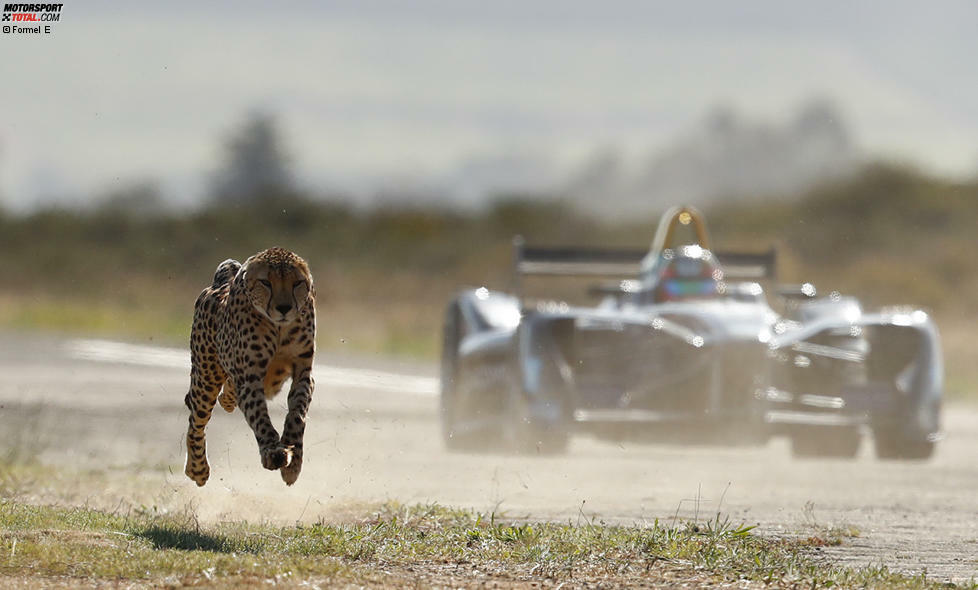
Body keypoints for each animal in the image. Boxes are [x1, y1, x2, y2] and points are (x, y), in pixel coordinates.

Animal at [185, 247, 314, 488]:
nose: (284, 308)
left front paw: (293, 461)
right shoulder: (249, 377)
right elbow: (259, 415)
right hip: (206, 378)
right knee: (195, 419)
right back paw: (197, 469)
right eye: (266, 282)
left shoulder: (303, 372)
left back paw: (227, 400)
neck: (278, 327)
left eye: (297, 283)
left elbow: (297, 413)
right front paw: (273, 450)